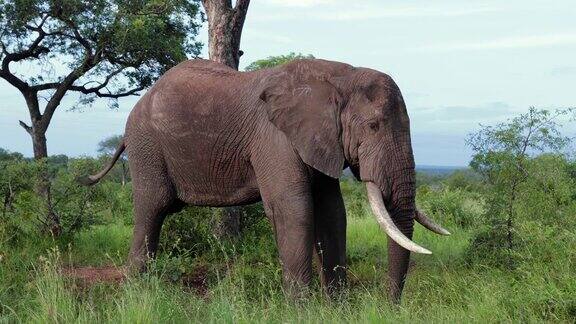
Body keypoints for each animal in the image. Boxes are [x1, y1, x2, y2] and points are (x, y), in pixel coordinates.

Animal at [82, 58, 450, 304]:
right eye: (373, 127)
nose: (390, 305)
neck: (339, 76)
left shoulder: (318, 139)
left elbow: (332, 213)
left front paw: (338, 309)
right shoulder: (274, 137)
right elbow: (294, 210)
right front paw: (303, 311)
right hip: (146, 144)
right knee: (152, 208)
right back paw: (137, 293)